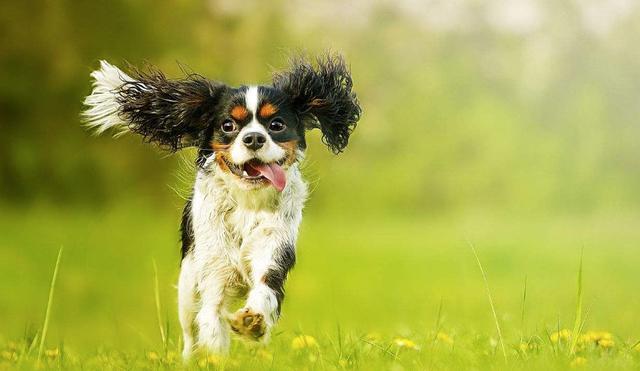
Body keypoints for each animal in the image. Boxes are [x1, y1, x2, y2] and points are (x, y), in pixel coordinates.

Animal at [81, 53, 360, 358]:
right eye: (228, 126)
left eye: (276, 125)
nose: (253, 138)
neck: (247, 200)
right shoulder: (214, 271)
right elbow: (212, 320)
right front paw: (215, 358)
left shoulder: (273, 249)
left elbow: (265, 289)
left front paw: (252, 322)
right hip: (187, 287)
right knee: (190, 333)